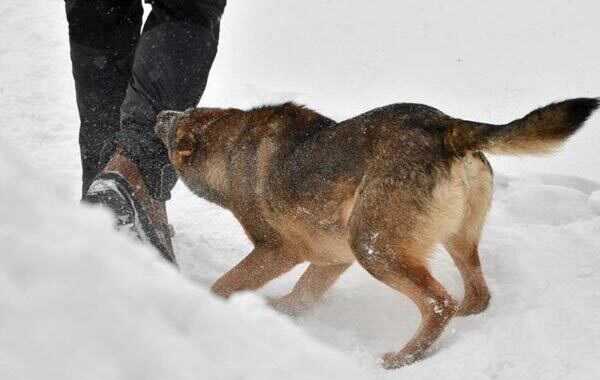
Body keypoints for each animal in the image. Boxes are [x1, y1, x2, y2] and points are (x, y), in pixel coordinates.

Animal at [156, 98, 600, 368]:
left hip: (373, 248)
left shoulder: (278, 250)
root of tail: (445, 126)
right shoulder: (331, 259)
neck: (229, 147)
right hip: (453, 241)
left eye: (174, 128)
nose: (159, 114)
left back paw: (402, 359)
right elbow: (300, 296)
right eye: (183, 111)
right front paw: (275, 314)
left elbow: (224, 284)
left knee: (439, 303)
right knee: (475, 295)